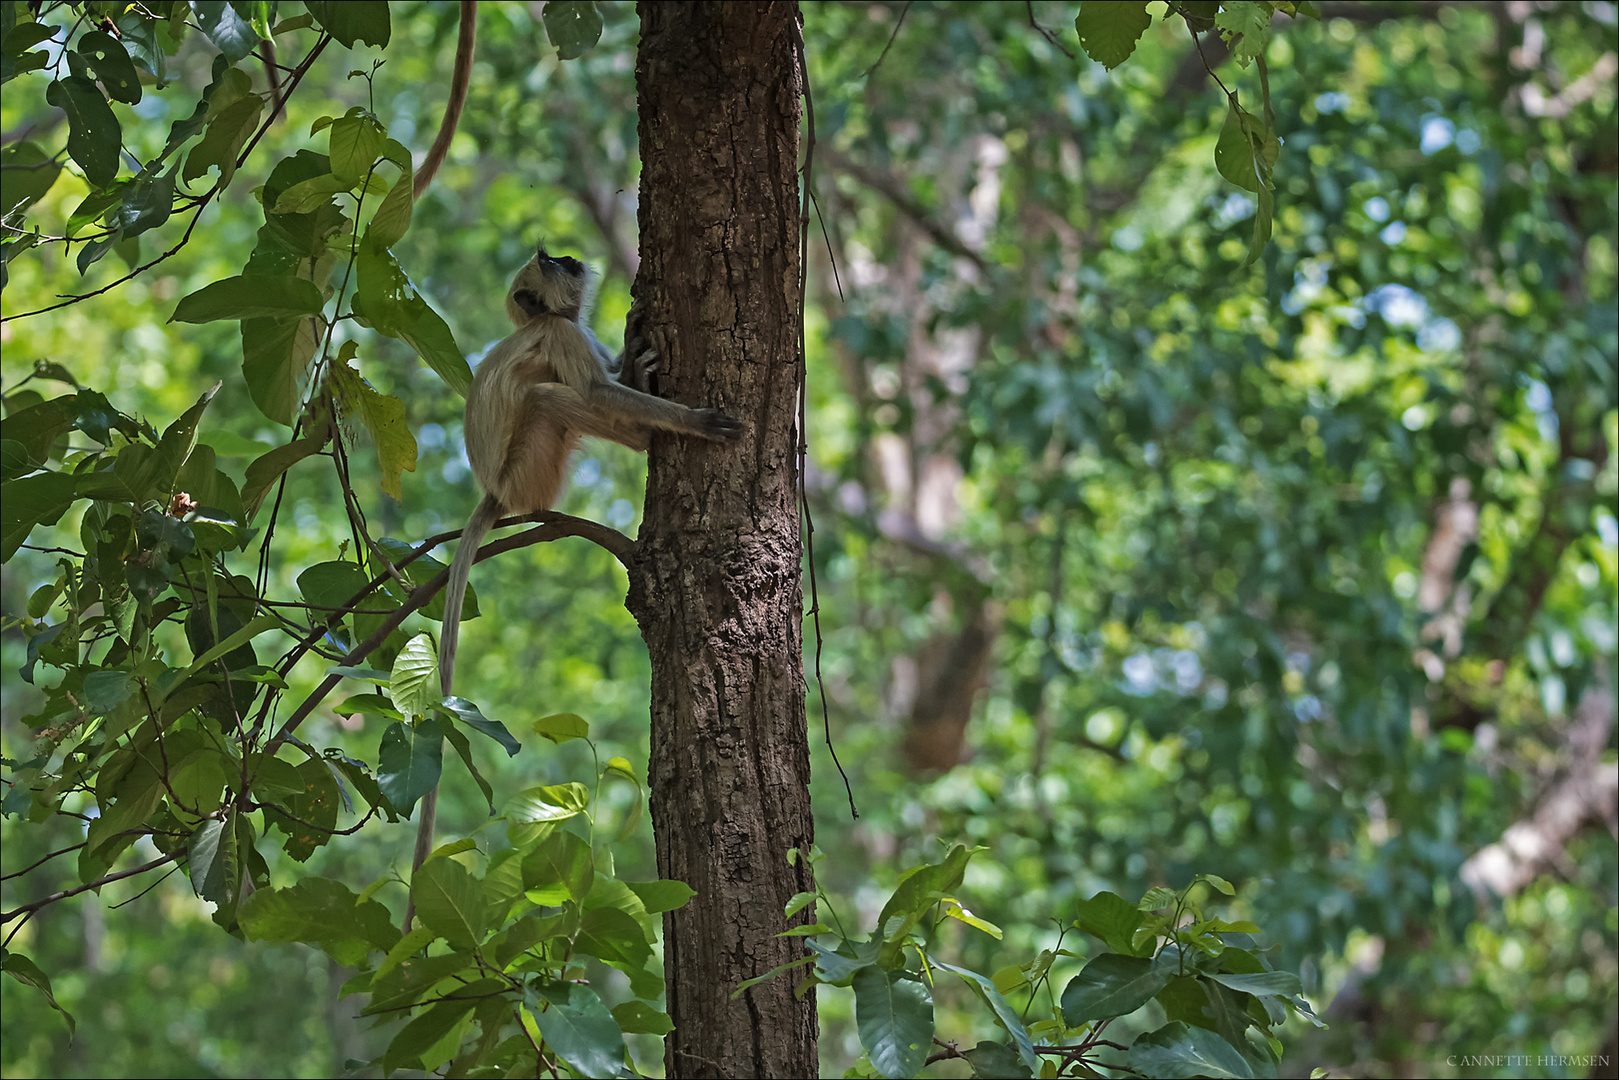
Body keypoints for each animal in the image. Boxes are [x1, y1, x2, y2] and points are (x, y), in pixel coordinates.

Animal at [411, 250, 751, 906]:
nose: (566, 258)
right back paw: (647, 435)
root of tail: (496, 492)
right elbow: (593, 388)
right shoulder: (561, 333)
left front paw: (632, 351)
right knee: (552, 396)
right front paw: (692, 421)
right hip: (533, 470)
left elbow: (604, 375)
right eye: (547, 263)